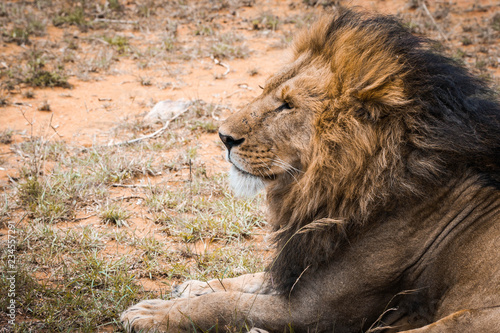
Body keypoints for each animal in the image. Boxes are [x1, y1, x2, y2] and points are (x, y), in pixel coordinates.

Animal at [122, 9, 500, 330]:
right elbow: (252, 279)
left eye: (287, 105)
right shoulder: (301, 264)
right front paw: (195, 286)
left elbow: (229, 304)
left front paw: (155, 314)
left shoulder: (316, 309)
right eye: (265, 90)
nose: (223, 137)